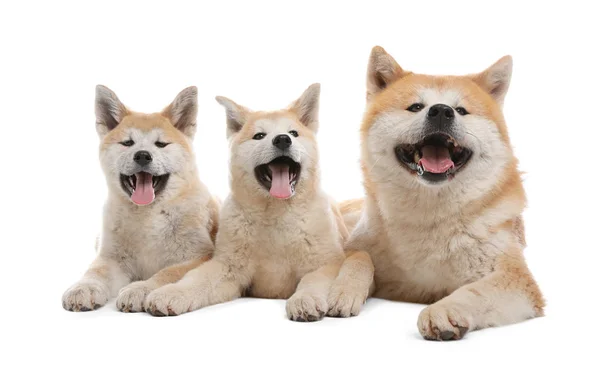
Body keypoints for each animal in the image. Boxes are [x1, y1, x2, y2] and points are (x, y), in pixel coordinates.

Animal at [61, 85, 219, 312]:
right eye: (127, 143)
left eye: (161, 144)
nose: (143, 155)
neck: (148, 215)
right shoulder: (112, 259)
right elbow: (95, 271)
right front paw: (84, 287)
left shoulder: (197, 257)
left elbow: (165, 274)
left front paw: (140, 289)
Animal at [144, 83, 372, 320]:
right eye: (259, 135)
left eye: (294, 133)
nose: (282, 139)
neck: (276, 214)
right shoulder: (227, 267)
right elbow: (196, 280)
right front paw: (170, 293)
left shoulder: (326, 263)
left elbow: (312, 281)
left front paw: (304, 300)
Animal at [342, 46, 544, 340]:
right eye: (416, 106)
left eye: (461, 110)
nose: (441, 111)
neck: (429, 217)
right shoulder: (358, 249)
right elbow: (357, 258)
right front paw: (340, 290)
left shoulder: (515, 277)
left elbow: (474, 291)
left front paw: (445, 310)